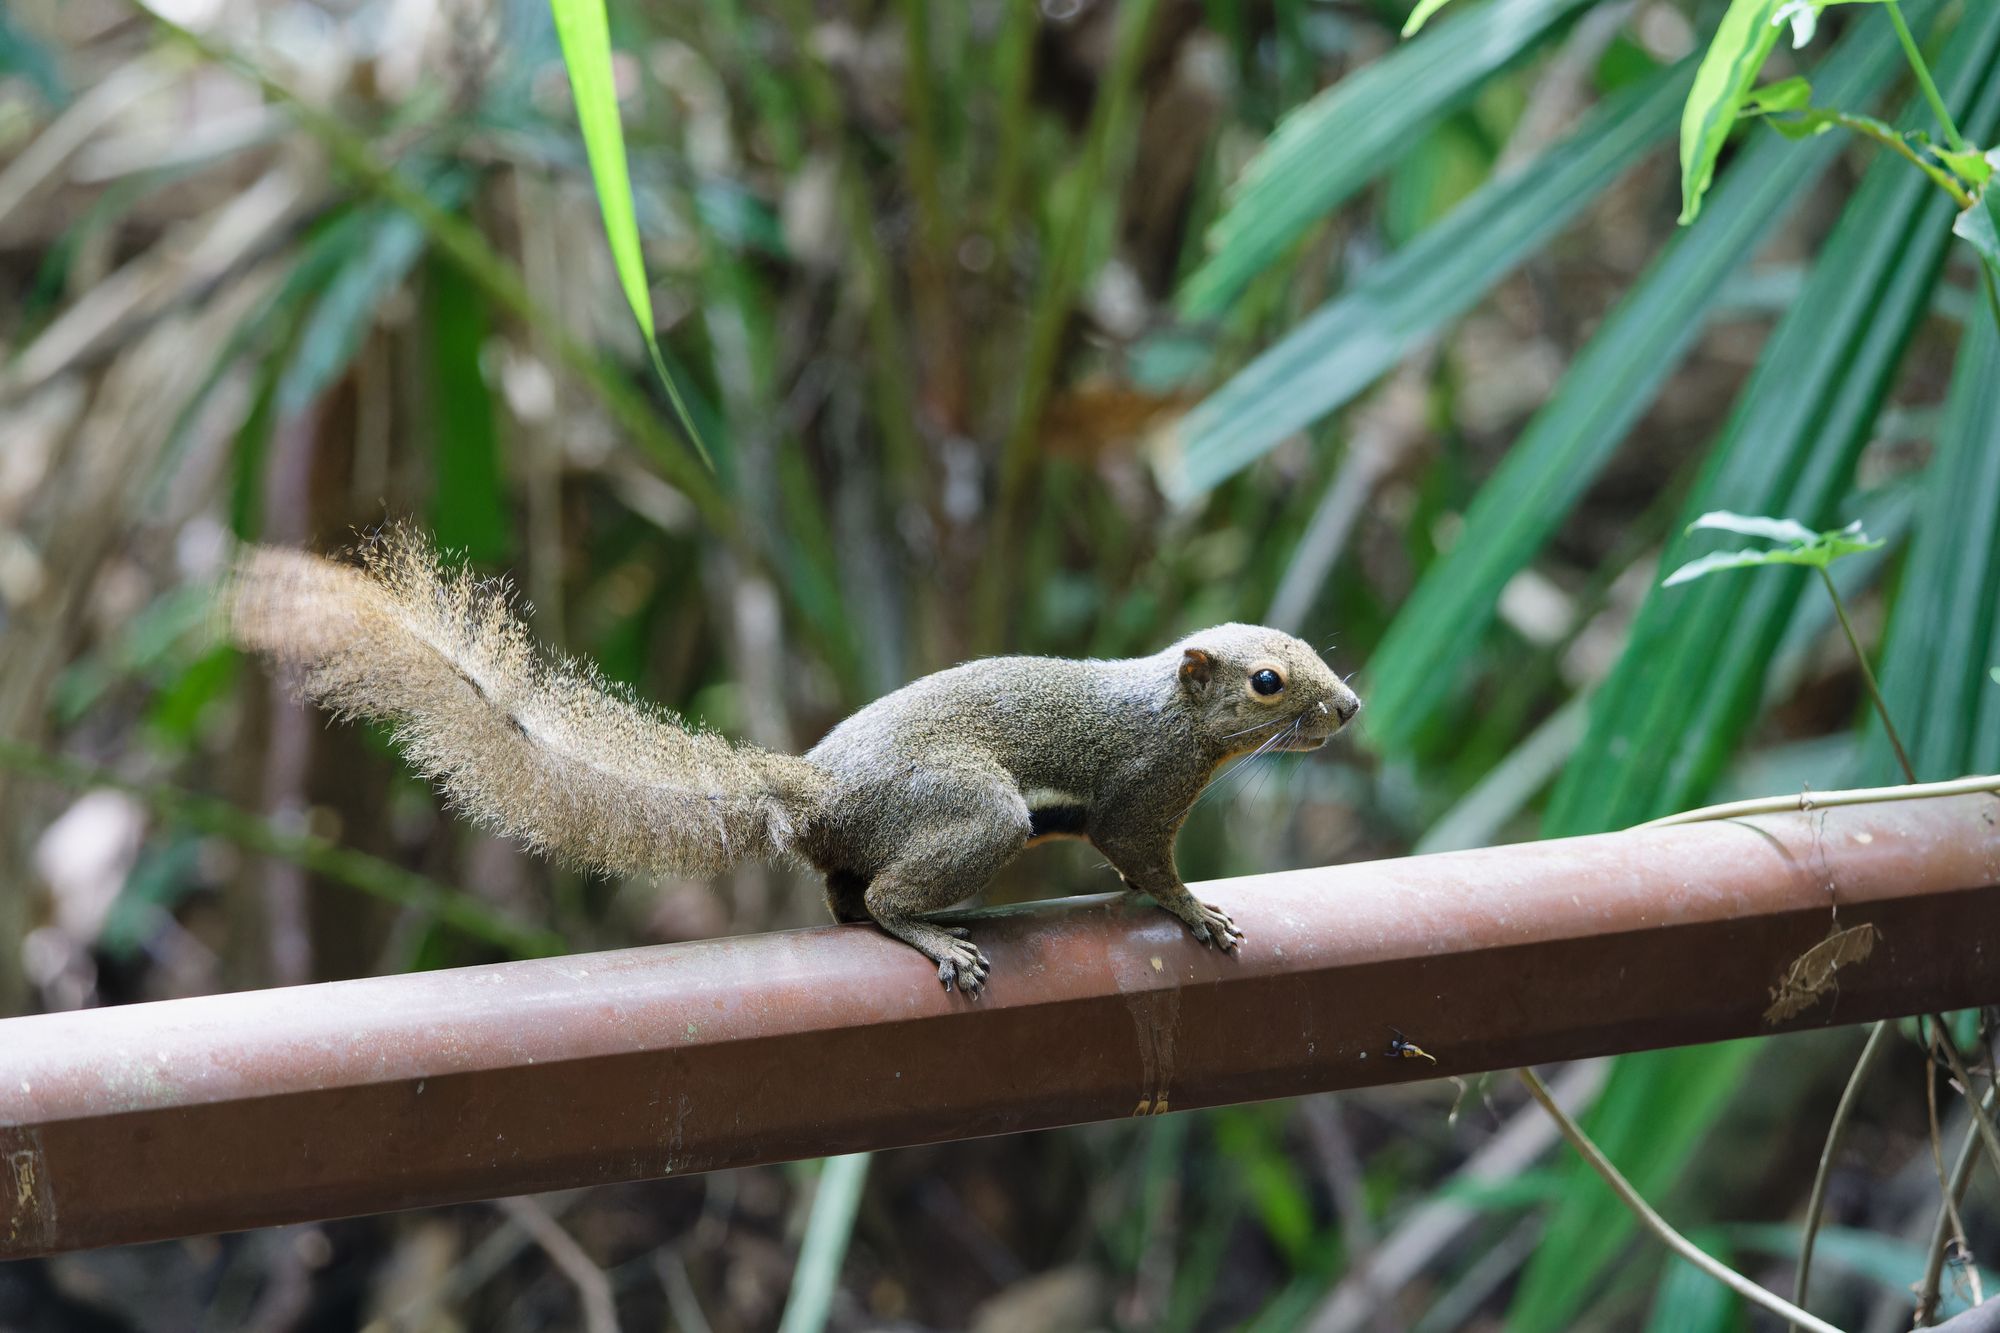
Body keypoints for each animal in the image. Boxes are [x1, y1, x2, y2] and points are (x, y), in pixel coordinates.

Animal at [227, 528, 1361, 993]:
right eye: (1268, 681)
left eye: (1309, 647)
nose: (1347, 705)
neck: (1173, 713)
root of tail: (816, 794)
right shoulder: (1141, 794)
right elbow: (1145, 864)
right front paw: (1198, 912)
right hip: (978, 809)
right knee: (881, 901)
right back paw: (940, 936)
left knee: (846, 900)